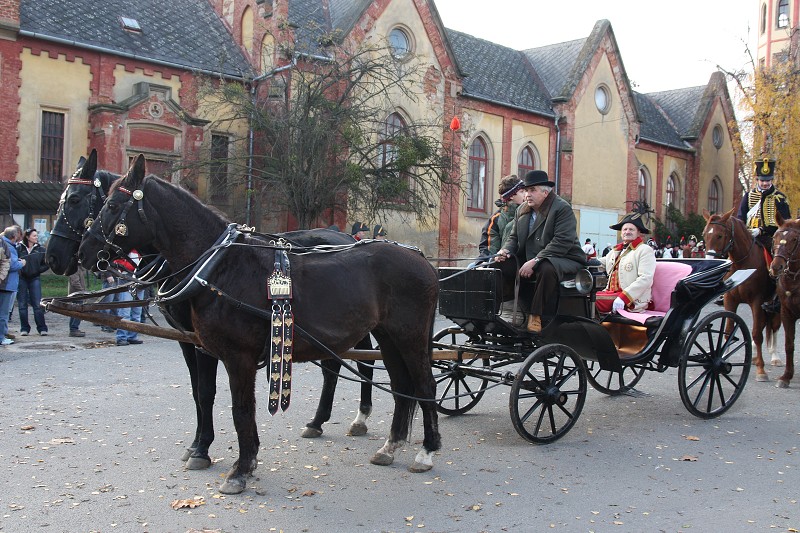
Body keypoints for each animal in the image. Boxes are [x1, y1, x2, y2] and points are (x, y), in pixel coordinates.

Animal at [46, 149, 376, 470]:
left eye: (76, 200)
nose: (57, 257)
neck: (208, 260)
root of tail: (346, 236)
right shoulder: (187, 337)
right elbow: (197, 391)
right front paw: (200, 444)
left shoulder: (204, 342)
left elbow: (206, 392)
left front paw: (203, 449)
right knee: (343, 363)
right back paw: (323, 420)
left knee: (363, 361)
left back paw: (358, 417)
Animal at [77, 155, 440, 494]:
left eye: (111, 205)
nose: (83, 252)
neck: (221, 266)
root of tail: (421, 257)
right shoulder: (206, 347)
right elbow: (212, 397)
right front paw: (229, 457)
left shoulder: (238, 357)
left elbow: (240, 410)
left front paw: (240, 468)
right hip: (387, 336)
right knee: (401, 385)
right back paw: (390, 446)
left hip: (409, 336)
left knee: (424, 385)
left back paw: (426, 450)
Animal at [704, 206, 780, 380]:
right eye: (704, 234)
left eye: (720, 235)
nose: (708, 262)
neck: (742, 263)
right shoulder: (730, 299)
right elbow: (728, 331)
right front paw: (723, 358)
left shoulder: (757, 301)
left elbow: (757, 333)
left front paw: (761, 370)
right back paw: (754, 356)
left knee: (774, 326)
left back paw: (774, 356)